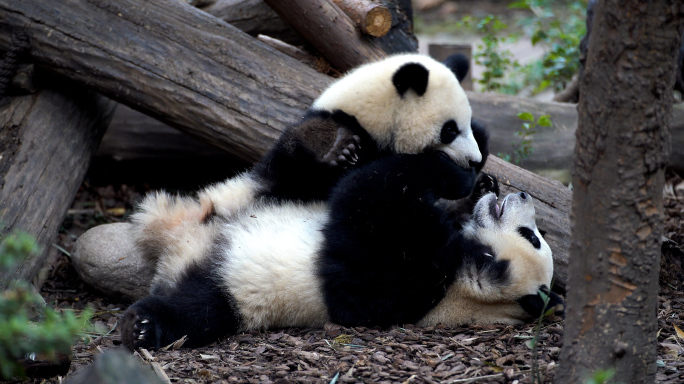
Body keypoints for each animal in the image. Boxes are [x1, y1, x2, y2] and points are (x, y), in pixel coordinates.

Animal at [120, 150, 564, 352]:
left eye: (530, 235)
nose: (523, 195)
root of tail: (180, 242)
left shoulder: (402, 285)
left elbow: (365, 204)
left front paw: (445, 169)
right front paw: (477, 184)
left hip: (233, 288)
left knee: (197, 308)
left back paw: (142, 326)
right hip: (256, 197)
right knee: (278, 175)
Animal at [131, 51, 488, 292]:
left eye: (466, 124)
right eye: (449, 130)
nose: (472, 160)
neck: (374, 121)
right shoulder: (293, 165)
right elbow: (298, 158)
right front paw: (339, 148)